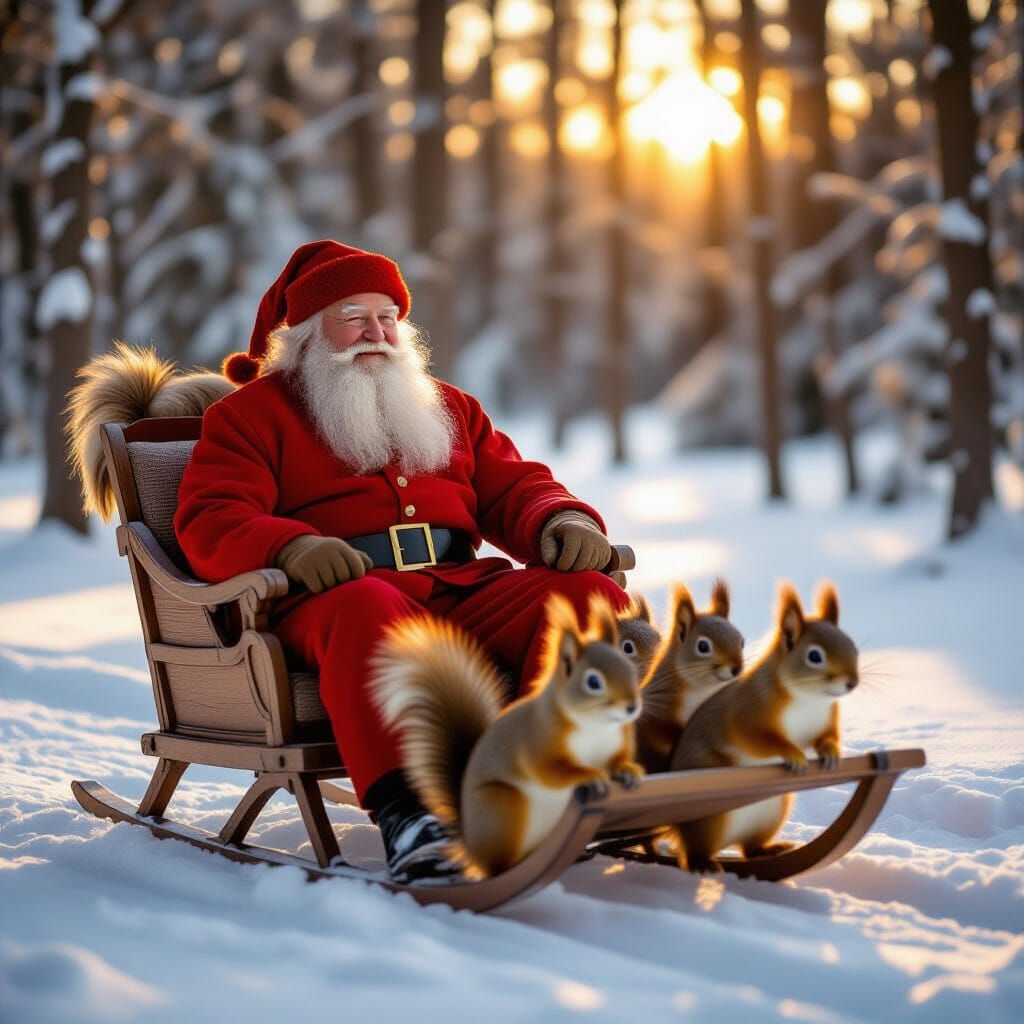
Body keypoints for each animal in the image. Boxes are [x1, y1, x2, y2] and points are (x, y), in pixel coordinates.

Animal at [371, 593, 645, 878]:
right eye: (593, 682)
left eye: (628, 669)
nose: (631, 707)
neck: (596, 725)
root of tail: (469, 842)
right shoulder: (538, 741)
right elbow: (549, 770)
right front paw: (589, 775)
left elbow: (616, 760)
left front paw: (628, 770)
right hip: (505, 807)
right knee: (498, 866)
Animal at [668, 581, 859, 872]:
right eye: (815, 656)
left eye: (853, 646)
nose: (851, 682)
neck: (809, 697)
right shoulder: (748, 712)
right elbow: (758, 739)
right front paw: (794, 754)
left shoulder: (825, 718)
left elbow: (826, 736)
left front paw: (831, 752)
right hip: (709, 818)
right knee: (693, 853)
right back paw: (705, 864)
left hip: (771, 813)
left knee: (749, 849)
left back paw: (769, 850)